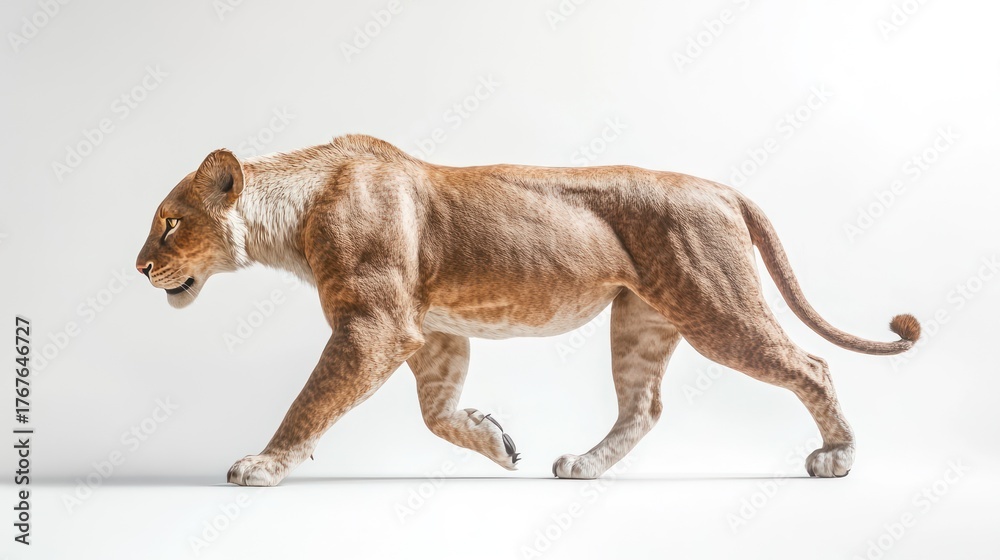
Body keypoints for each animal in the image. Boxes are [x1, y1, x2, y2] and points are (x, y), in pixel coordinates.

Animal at [135, 134, 920, 486]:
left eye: (170, 223)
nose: (139, 268)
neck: (291, 217)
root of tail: (721, 187)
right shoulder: (431, 332)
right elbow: (436, 412)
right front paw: (496, 441)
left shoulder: (375, 326)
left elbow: (312, 400)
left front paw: (264, 464)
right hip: (641, 319)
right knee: (643, 407)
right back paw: (583, 465)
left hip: (715, 306)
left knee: (811, 364)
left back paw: (838, 457)